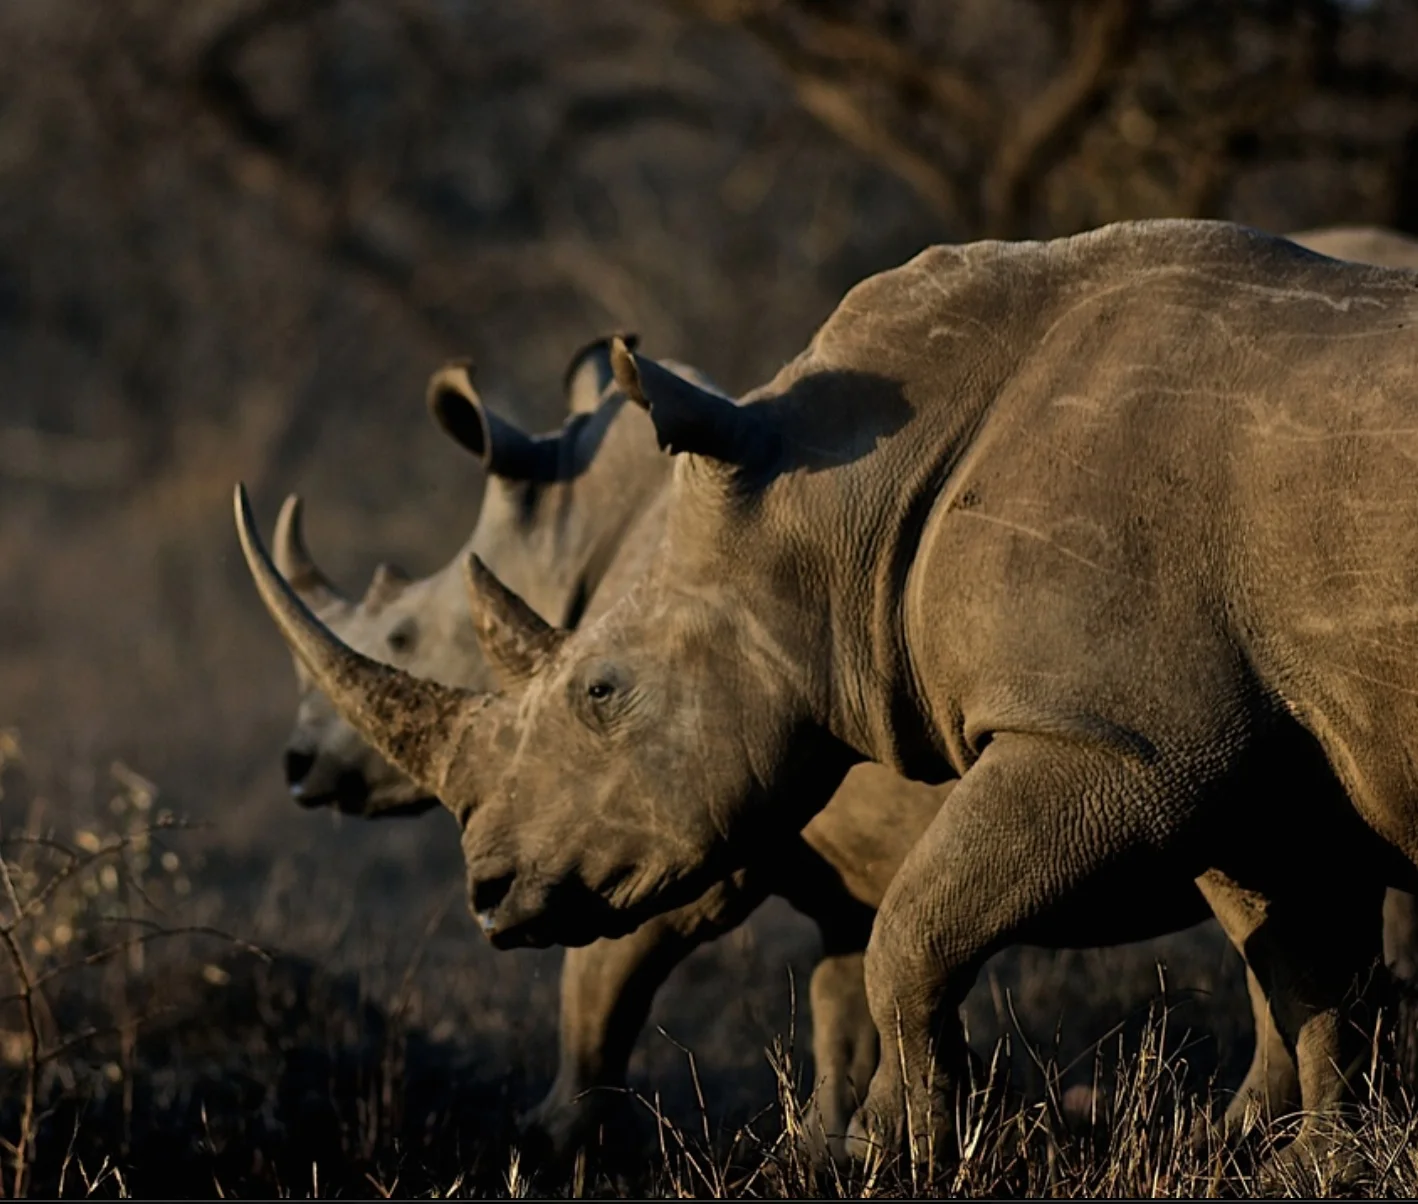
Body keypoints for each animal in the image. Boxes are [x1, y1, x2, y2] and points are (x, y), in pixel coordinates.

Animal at [238, 218, 1418, 1178]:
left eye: (601, 691)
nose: (486, 893)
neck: (824, 502)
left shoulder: (1117, 744)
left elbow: (679, 962)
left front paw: (556, 1143)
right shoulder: (1253, 760)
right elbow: (1311, 969)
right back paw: (1246, 1139)